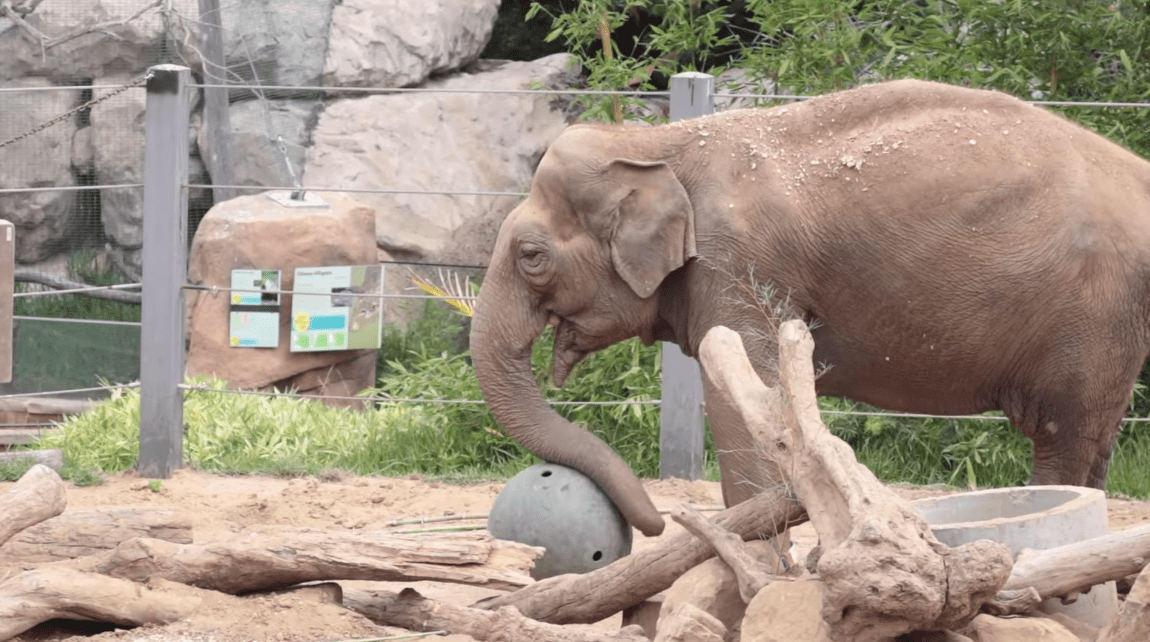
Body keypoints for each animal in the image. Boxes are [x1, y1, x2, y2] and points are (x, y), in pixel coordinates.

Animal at [466, 79, 1150, 538]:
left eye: (531, 255)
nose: (656, 523)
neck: (656, 140)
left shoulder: (736, 265)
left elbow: (743, 398)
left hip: (1091, 313)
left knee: (1064, 437)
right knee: (1090, 443)